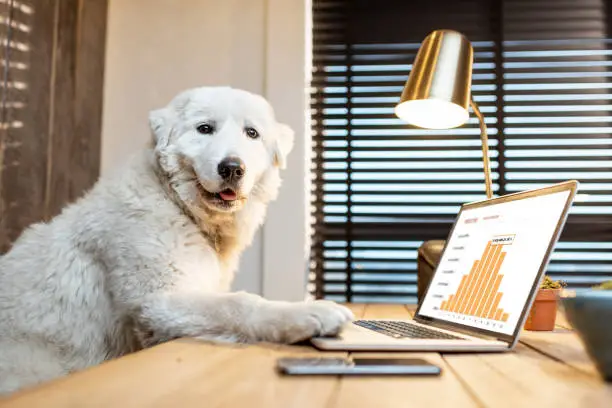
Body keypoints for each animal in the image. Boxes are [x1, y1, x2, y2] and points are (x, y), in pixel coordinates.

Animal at [0, 87, 354, 396]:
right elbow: (239, 304)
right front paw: (309, 313)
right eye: (205, 128)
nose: (232, 168)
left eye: (251, 133)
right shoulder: (159, 301)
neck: (177, 204)